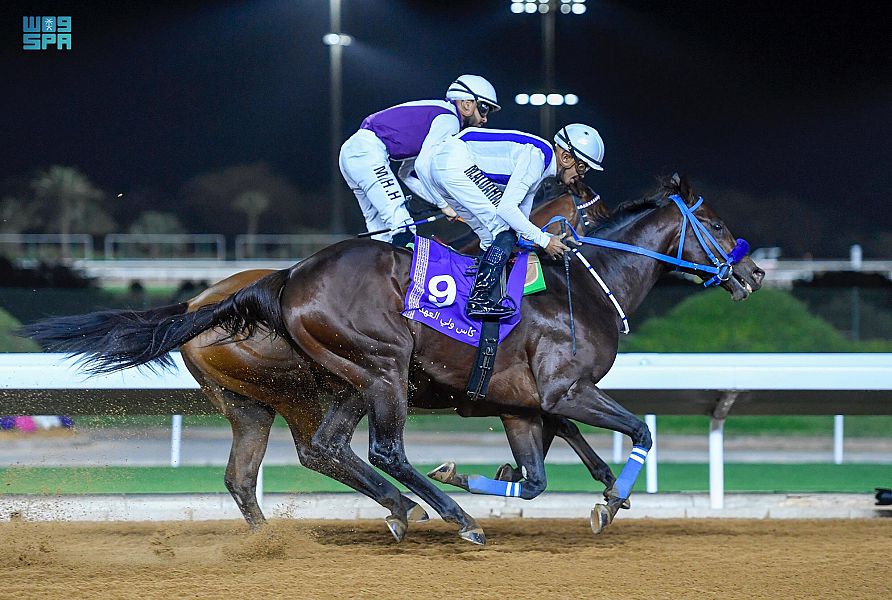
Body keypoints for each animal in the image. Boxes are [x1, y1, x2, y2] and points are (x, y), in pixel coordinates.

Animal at [24, 173, 764, 544]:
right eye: (716, 224)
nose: (754, 271)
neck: (576, 286)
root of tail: (283, 279)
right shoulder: (562, 391)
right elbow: (634, 430)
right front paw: (603, 500)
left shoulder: (523, 404)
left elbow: (545, 470)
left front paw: (592, 494)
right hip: (375, 368)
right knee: (372, 451)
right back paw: (444, 515)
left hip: (282, 397)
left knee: (273, 465)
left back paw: (296, 534)